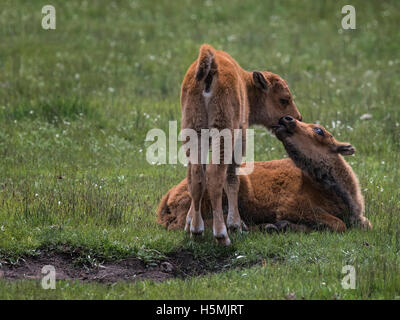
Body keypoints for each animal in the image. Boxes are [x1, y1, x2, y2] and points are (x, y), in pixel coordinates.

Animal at [157, 116, 372, 234]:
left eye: (319, 130)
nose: (286, 119)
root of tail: (168, 196)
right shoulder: (293, 207)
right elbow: (338, 224)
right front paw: (284, 225)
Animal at [180, 43, 300, 245]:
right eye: (284, 99)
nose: (296, 118)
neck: (245, 84)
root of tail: (211, 67)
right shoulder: (239, 142)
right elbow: (232, 179)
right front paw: (236, 224)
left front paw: (189, 223)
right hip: (223, 134)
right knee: (215, 176)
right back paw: (222, 235)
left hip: (195, 132)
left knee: (196, 176)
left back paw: (196, 231)